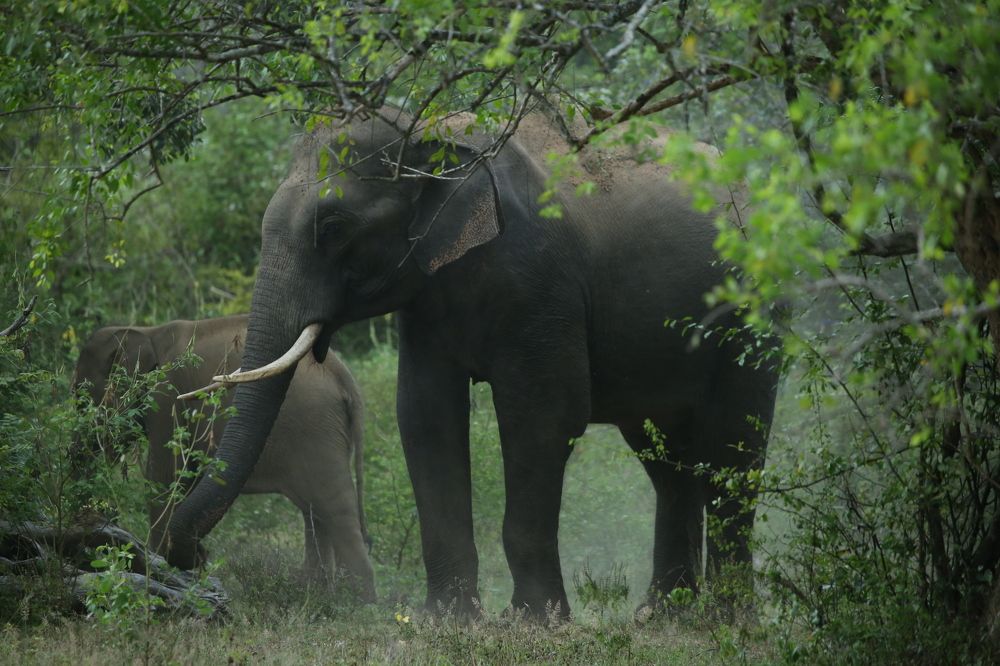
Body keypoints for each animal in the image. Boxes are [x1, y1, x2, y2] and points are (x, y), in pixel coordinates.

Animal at [73, 314, 376, 601]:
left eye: (81, 400)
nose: (202, 555)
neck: (146, 332)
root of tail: (344, 377)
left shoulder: (167, 398)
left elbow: (165, 477)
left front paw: (163, 566)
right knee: (315, 511)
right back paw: (318, 595)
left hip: (315, 431)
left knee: (335, 509)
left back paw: (359, 603)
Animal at [163, 108, 780, 619]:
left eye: (333, 228)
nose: (193, 557)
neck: (428, 133)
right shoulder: (426, 295)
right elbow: (425, 415)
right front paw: (449, 620)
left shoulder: (539, 277)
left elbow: (543, 417)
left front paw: (533, 622)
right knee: (666, 461)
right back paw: (663, 617)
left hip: (755, 317)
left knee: (735, 448)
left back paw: (727, 619)